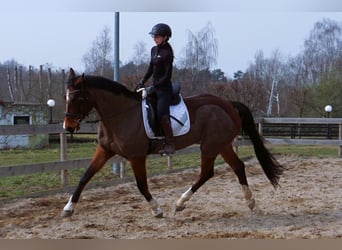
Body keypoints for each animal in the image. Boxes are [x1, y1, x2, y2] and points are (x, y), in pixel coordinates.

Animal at [61, 68, 284, 219]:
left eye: (79, 98)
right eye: (66, 97)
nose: (68, 126)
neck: (122, 114)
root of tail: (228, 104)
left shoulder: (136, 156)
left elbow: (141, 185)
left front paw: (157, 209)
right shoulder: (104, 150)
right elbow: (85, 177)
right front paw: (68, 209)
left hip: (210, 146)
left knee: (207, 173)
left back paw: (179, 203)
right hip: (222, 145)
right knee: (237, 167)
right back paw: (251, 203)